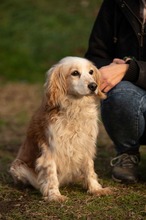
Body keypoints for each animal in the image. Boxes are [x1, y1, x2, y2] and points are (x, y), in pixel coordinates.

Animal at [9, 56, 111, 201]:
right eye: (75, 73)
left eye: (91, 72)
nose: (93, 86)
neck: (74, 108)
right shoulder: (50, 149)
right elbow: (51, 174)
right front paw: (54, 195)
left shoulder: (85, 144)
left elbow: (89, 169)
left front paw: (96, 188)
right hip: (18, 167)